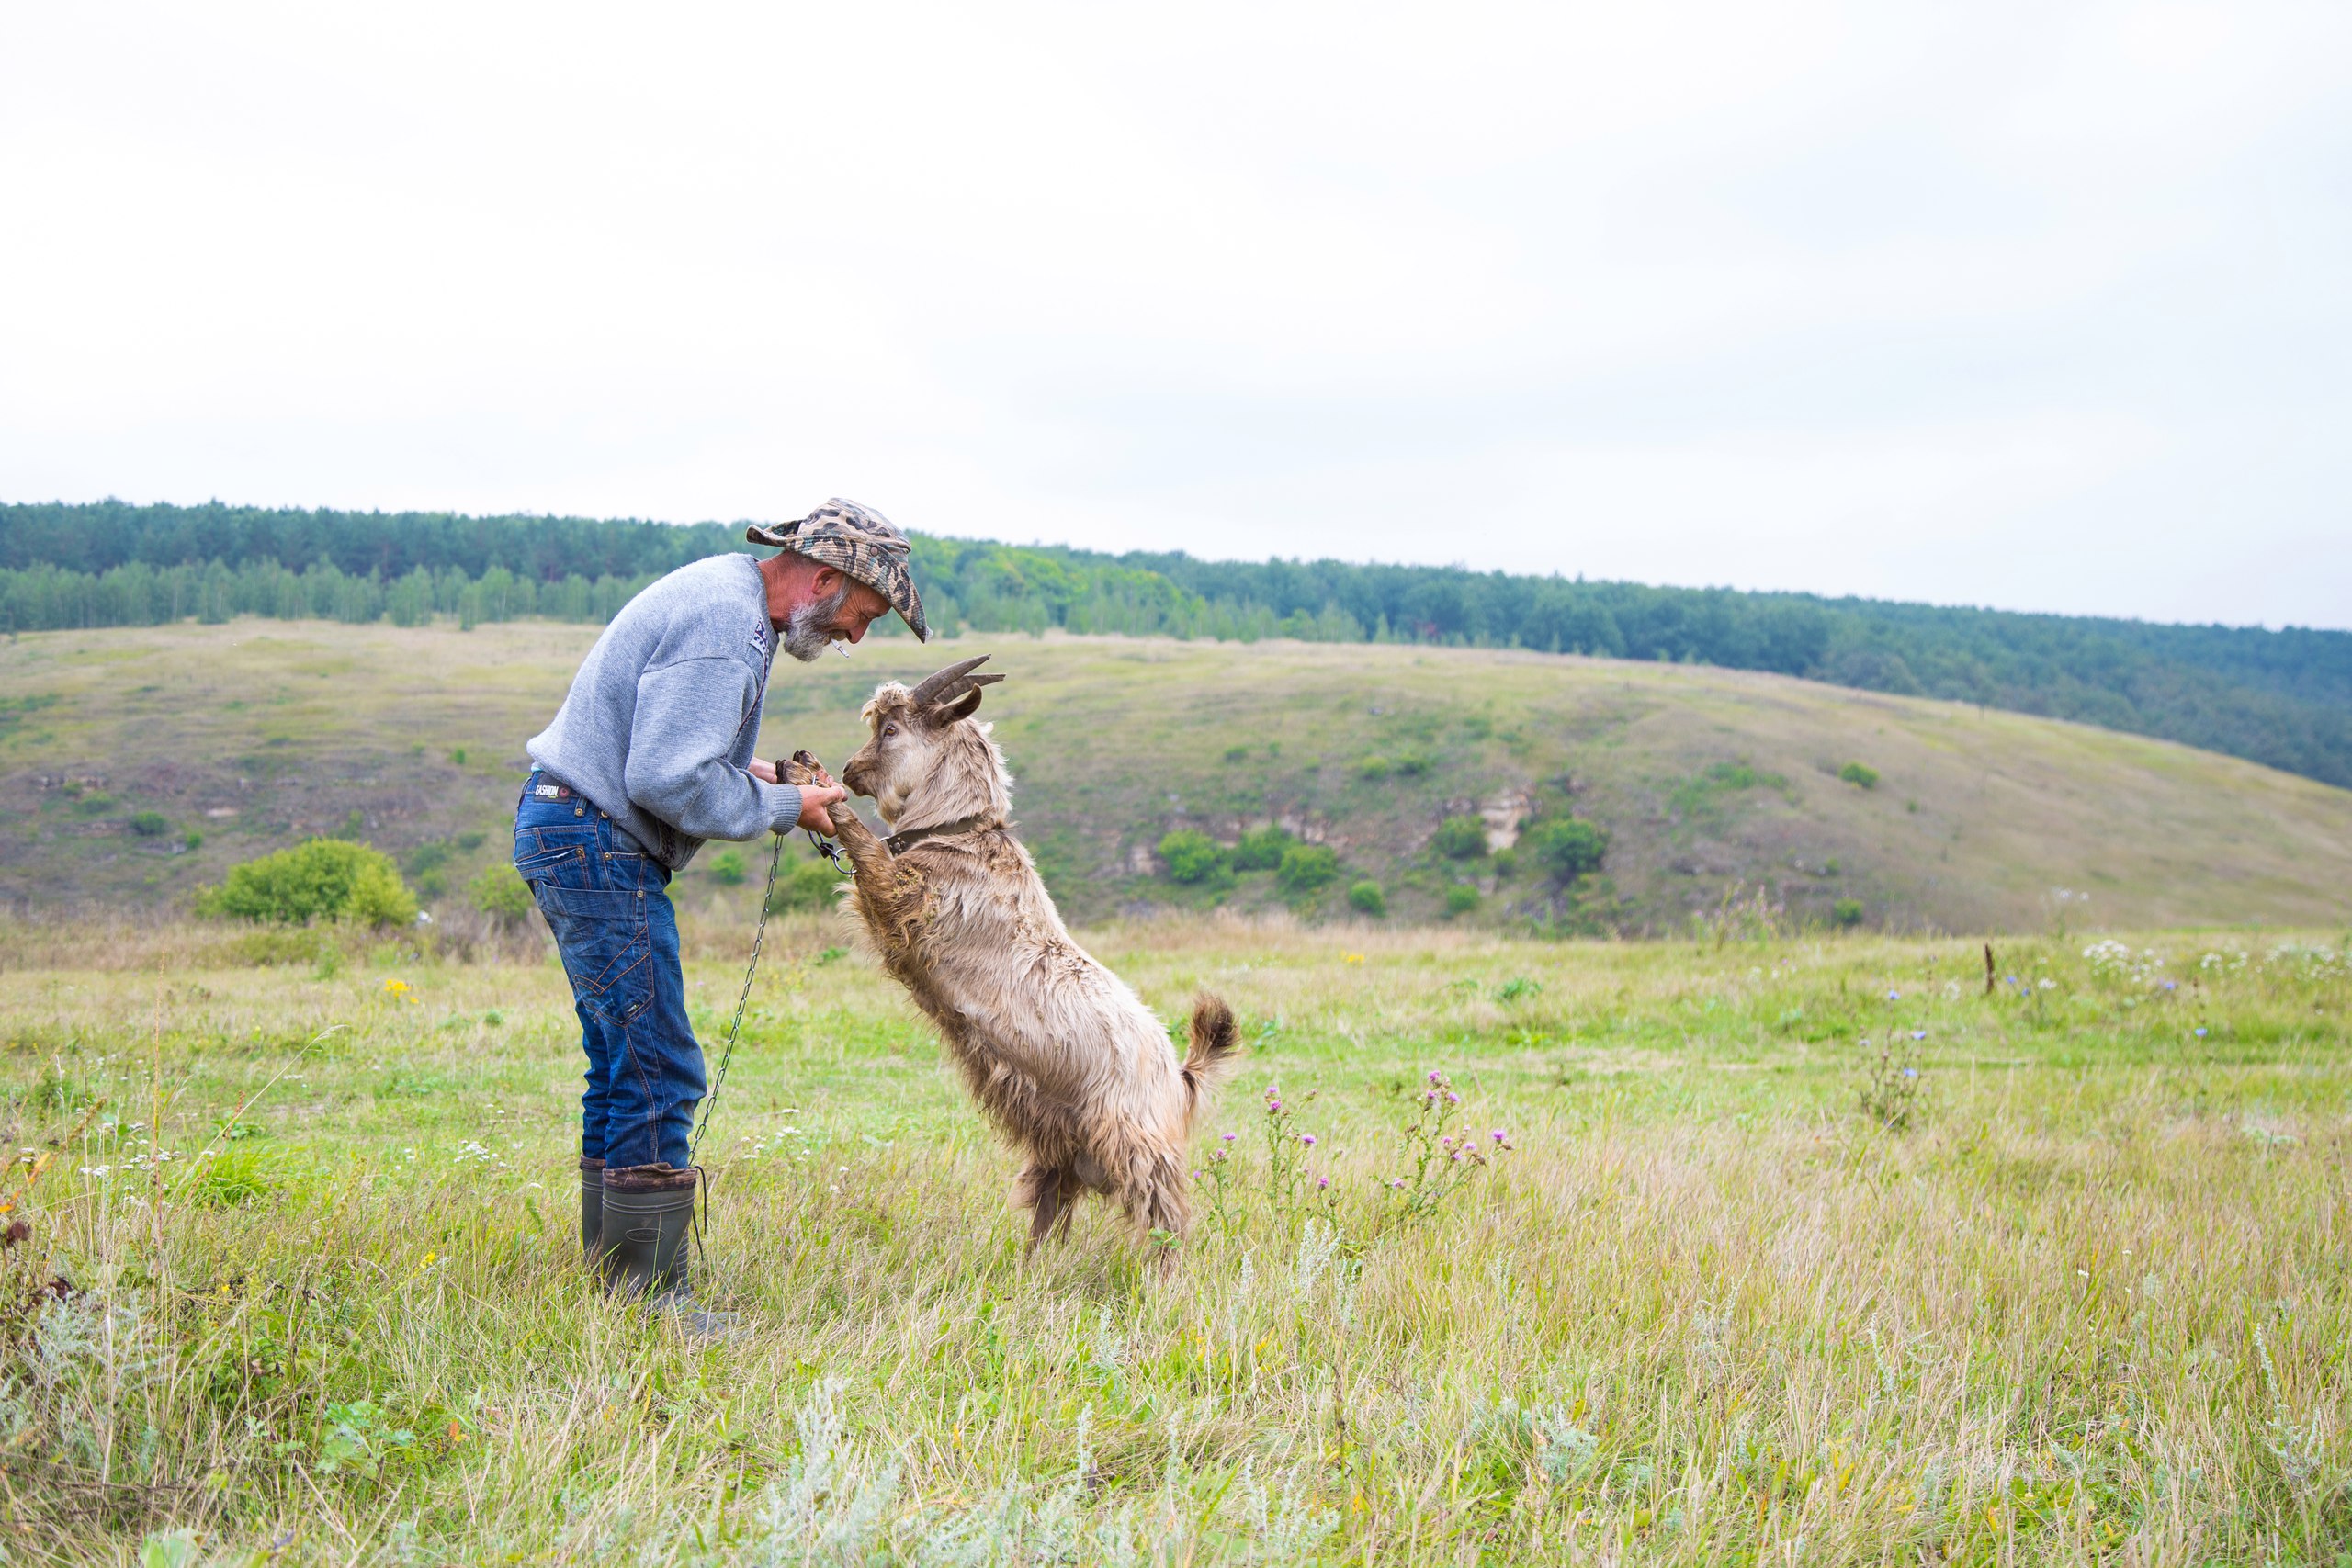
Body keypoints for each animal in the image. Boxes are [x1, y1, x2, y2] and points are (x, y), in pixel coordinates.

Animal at [780, 658, 1241, 1259]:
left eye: (890, 730)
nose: (848, 769)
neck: (959, 835)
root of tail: (1181, 1078)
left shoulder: (904, 900)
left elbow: (863, 843)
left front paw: (809, 782)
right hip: (1062, 1144)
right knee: (1053, 1207)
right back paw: (1033, 1268)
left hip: (1134, 1144)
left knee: (1168, 1220)